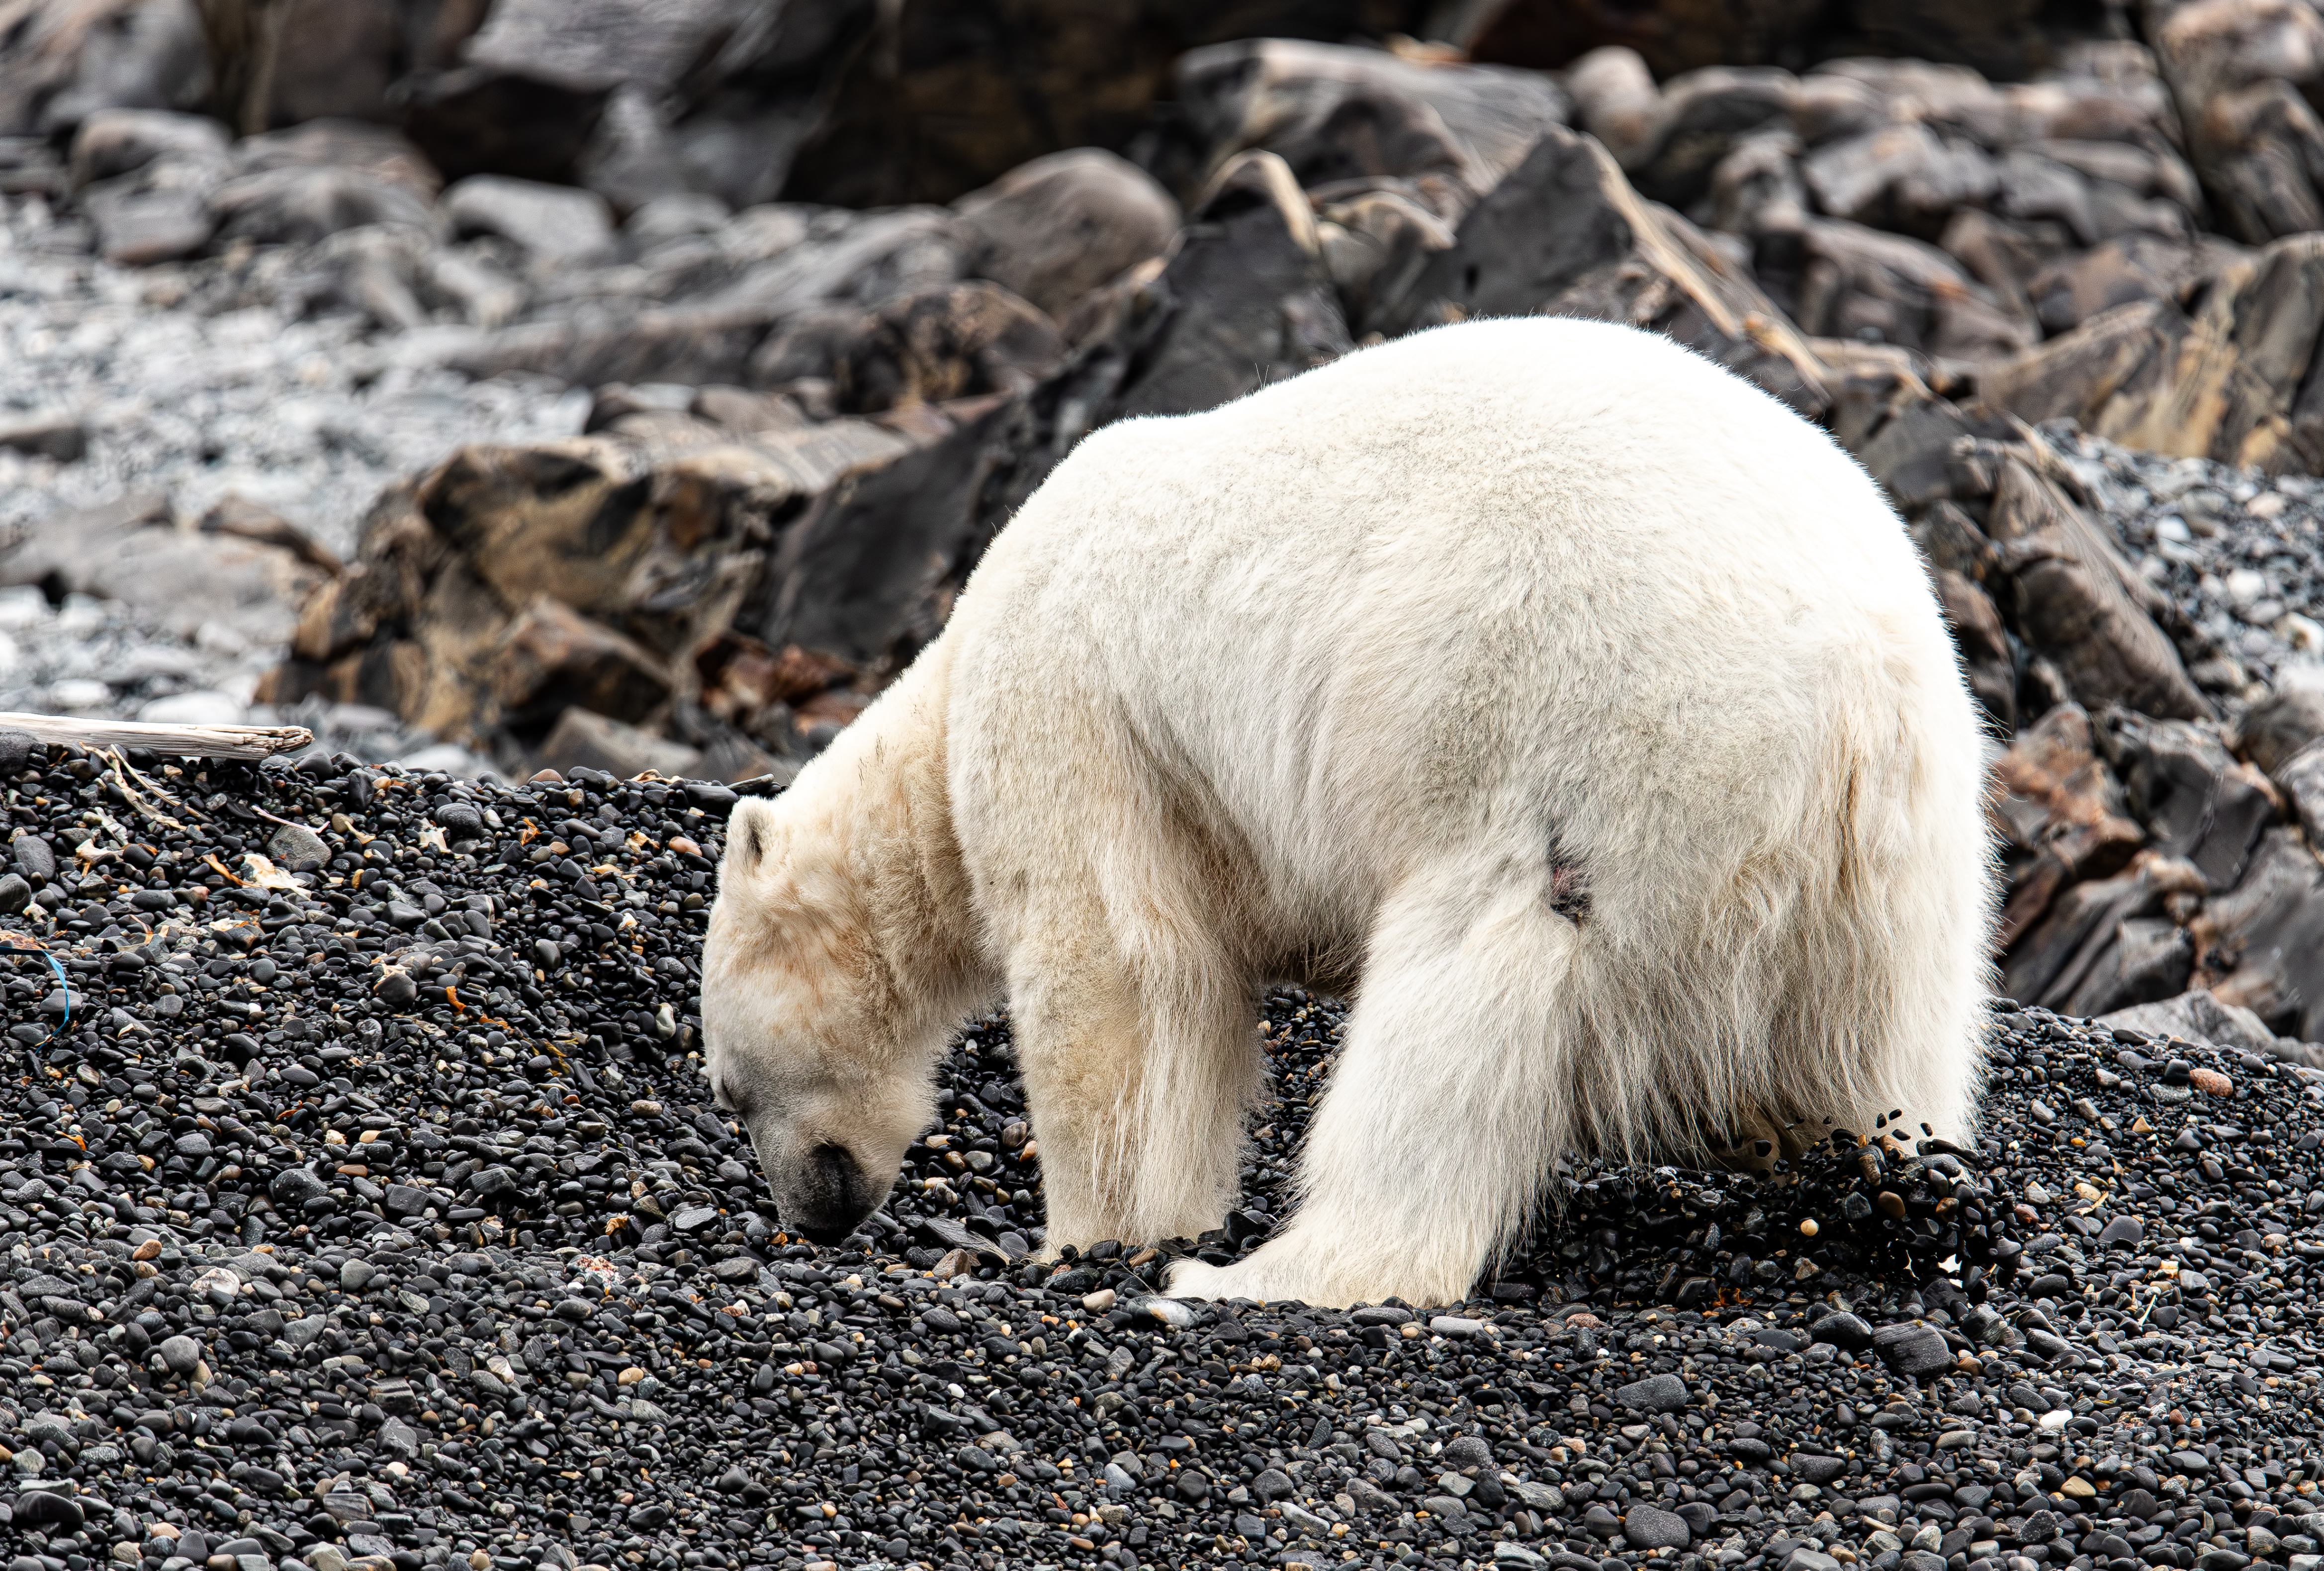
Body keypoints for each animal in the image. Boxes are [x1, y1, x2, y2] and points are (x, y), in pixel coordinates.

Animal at [699, 315, 1995, 1310]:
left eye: (727, 1085)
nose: (815, 1209)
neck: (957, 668)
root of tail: (1852, 675)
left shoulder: (1073, 715)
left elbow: (1112, 969)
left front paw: (1086, 1237)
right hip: (1902, 853)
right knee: (1888, 1035)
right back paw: (1877, 1191)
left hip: (1566, 731)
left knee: (1451, 1014)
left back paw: (1270, 1273)